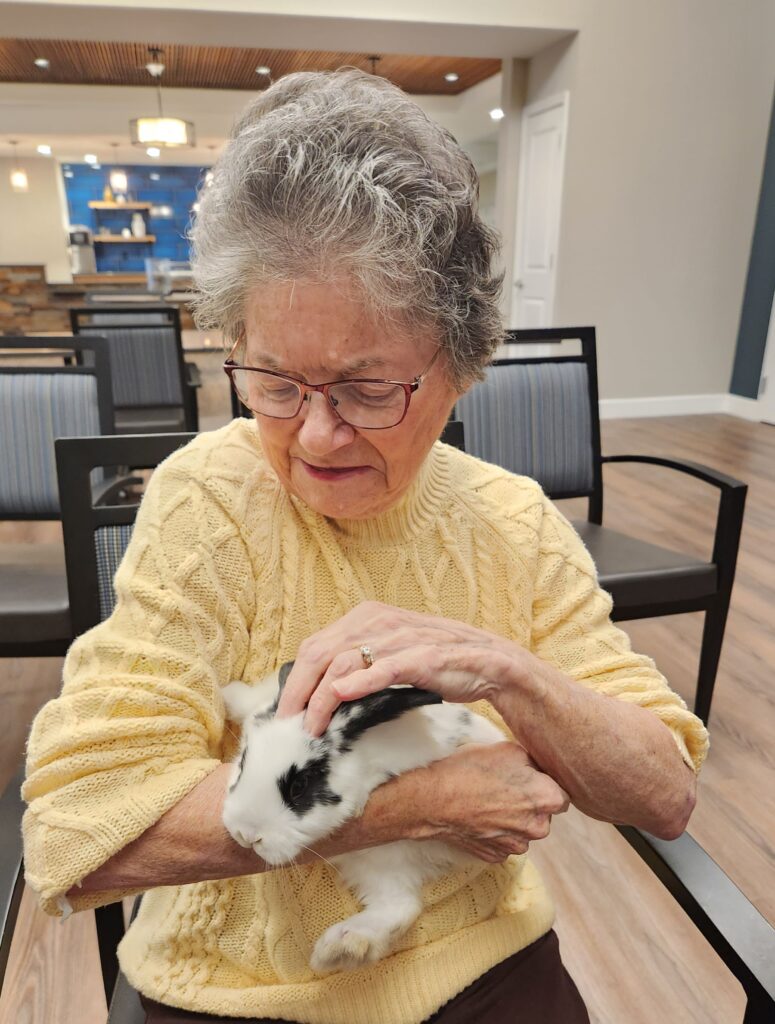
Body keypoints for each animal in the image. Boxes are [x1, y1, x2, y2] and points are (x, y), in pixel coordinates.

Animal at [221, 661, 505, 974]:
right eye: (243, 761)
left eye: (300, 785)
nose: (246, 835)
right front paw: (228, 693)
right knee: (401, 903)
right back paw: (344, 948)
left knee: (402, 905)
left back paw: (337, 948)